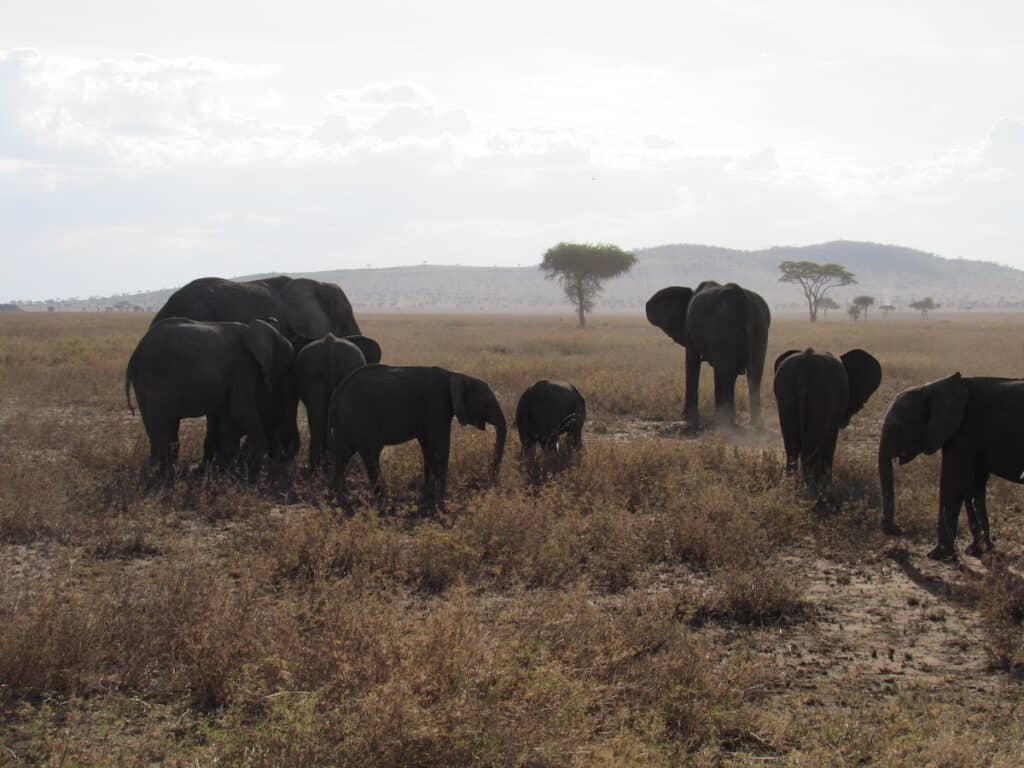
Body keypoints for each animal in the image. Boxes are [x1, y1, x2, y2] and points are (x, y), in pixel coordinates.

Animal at [126, 318, 295, 474]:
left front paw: (226, 468)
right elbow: (240, 410)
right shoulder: (243, 367)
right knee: (160, 423)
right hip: (155, 377)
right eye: (285, 366)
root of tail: (135, 355)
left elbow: (227, 416)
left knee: (160, 423)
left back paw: (161, 470)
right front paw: (252, 466)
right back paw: (164, 473)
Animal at [329, 366, 506, 504]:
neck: (456, 375)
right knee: (369, 455)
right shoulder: (437, 405)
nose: (490, 481)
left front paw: (428, 493)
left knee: (342, 455)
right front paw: (441, 498)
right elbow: (440, 445)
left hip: (345, 423)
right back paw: (381, 499)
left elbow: (427, 446)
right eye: (486, 405)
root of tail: (336, 395)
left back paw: (338, 497)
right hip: (359, 419)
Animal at [646, 281, 771, 429]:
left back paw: (726, 423)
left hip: (724, 327)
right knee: (753, 373)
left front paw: (689, 418)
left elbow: (692, 362)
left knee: (727, 372)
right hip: (760, 327)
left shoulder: (691, 331)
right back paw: (754, 424)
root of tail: (741, 297)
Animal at [773, 348, 881, 490]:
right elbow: (830, 441)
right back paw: (812, 487)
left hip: (786, 394)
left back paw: (794, 485)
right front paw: (827, 484)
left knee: (791, 446)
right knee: (811, 447)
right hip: (821, 396)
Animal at [878, 373, 1024, 560]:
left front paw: (937, 554)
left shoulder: (965, 432)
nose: (897, 530)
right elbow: (974, 487)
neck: (931, 388)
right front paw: (977, 550)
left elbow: (952, 482)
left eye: (899, 427)